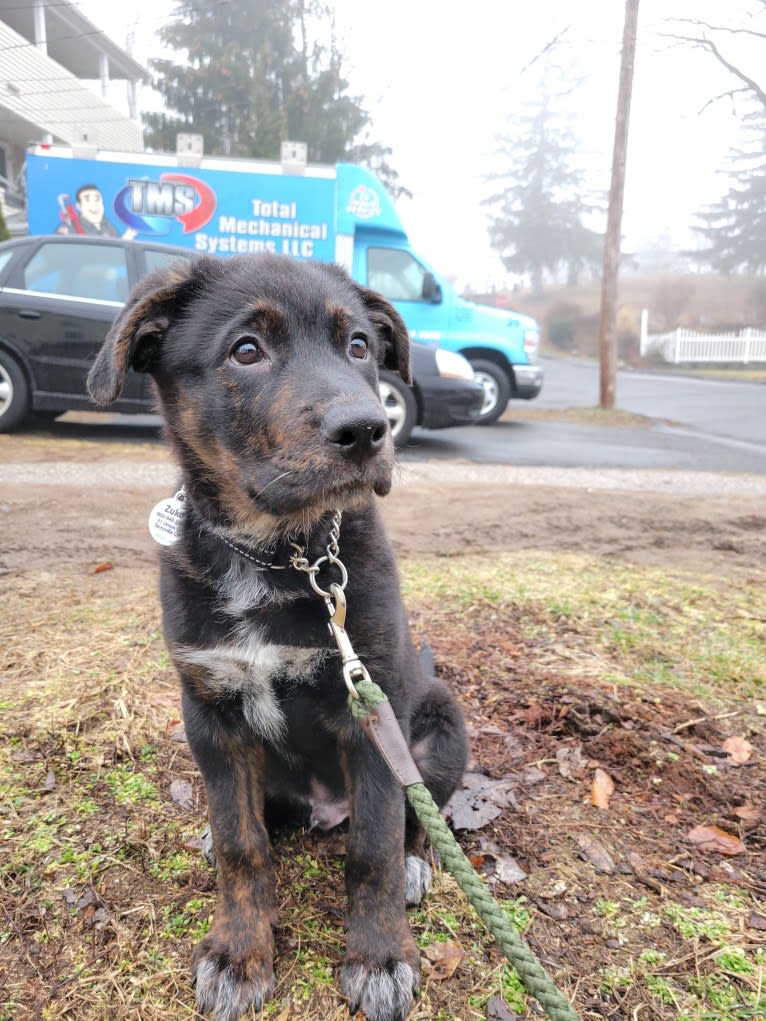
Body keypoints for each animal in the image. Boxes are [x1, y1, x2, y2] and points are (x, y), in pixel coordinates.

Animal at [86, 253, 465, 1021]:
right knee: (262, 820)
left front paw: (380, 957)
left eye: (359, 347)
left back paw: (417, 861)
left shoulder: (369, 714)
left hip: (440, 723)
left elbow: (373, 849)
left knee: (416, 815)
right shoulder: (210, 711)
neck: (279, 554)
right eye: (246, 351)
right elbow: (243, 845)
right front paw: (239, 950)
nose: (368, 430)